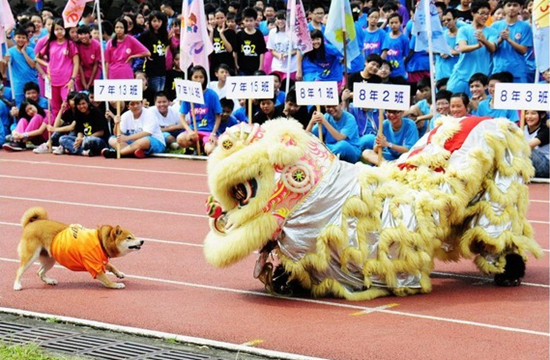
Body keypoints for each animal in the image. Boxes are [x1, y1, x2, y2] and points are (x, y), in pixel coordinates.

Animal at [13, 208, 144, 290]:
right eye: (129, 237)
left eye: (134, 236)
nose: (142, 241)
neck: (101, 240)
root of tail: (30, 223)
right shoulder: (94, 266)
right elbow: (107, 281)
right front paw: (115, 285)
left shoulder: (99, 261)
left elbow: (111, 266)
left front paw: (119, 273)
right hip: (30, 257)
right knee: (19, 271)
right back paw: (17, 285)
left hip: (50, 259)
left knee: (39, 272)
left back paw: (49, 281)